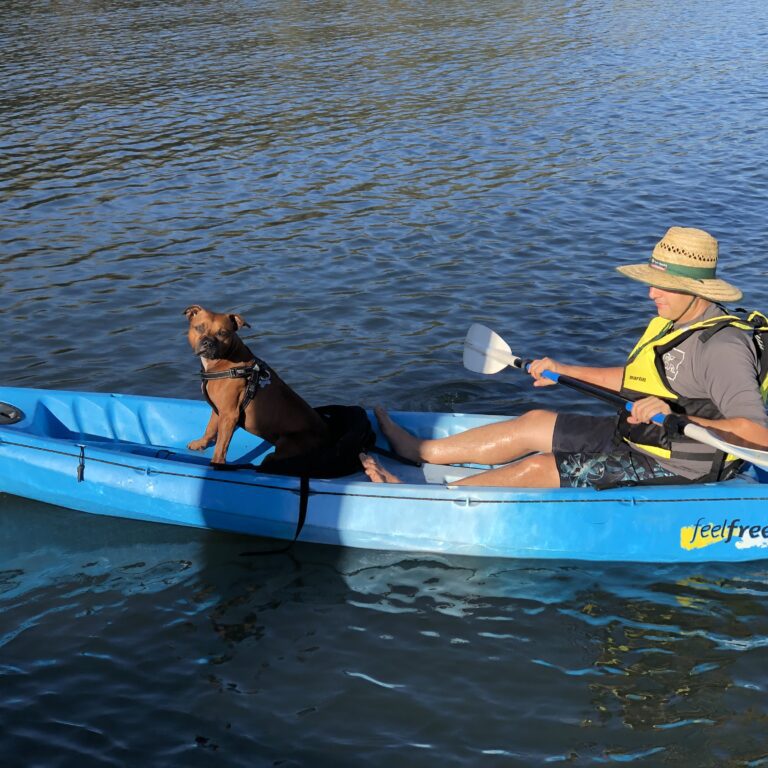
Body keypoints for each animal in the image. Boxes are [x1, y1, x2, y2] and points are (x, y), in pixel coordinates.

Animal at [187, 304, 332, 462]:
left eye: (223, 333)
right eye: (199, 328)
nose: (208, 342)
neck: (223, 362)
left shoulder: (229, 414)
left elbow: (221, 446)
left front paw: (216, 463)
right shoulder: (218, 409)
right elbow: (210, 428)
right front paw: (201, 443)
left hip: (283, 446)